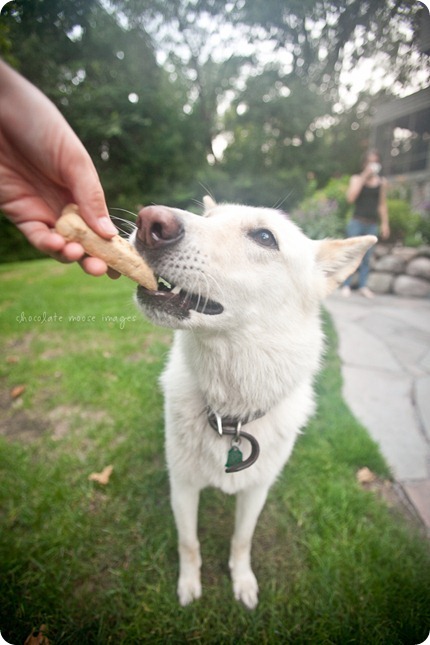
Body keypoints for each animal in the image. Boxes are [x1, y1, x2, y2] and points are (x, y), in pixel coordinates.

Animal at [132, 197, 376, 608]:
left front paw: (242, 581)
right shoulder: (183, 487)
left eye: (264, 237)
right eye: (208, 217)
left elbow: (242, 539)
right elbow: (188, 542)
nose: (149, 221)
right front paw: (189, 584)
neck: (229, 414)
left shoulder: (256, 491)